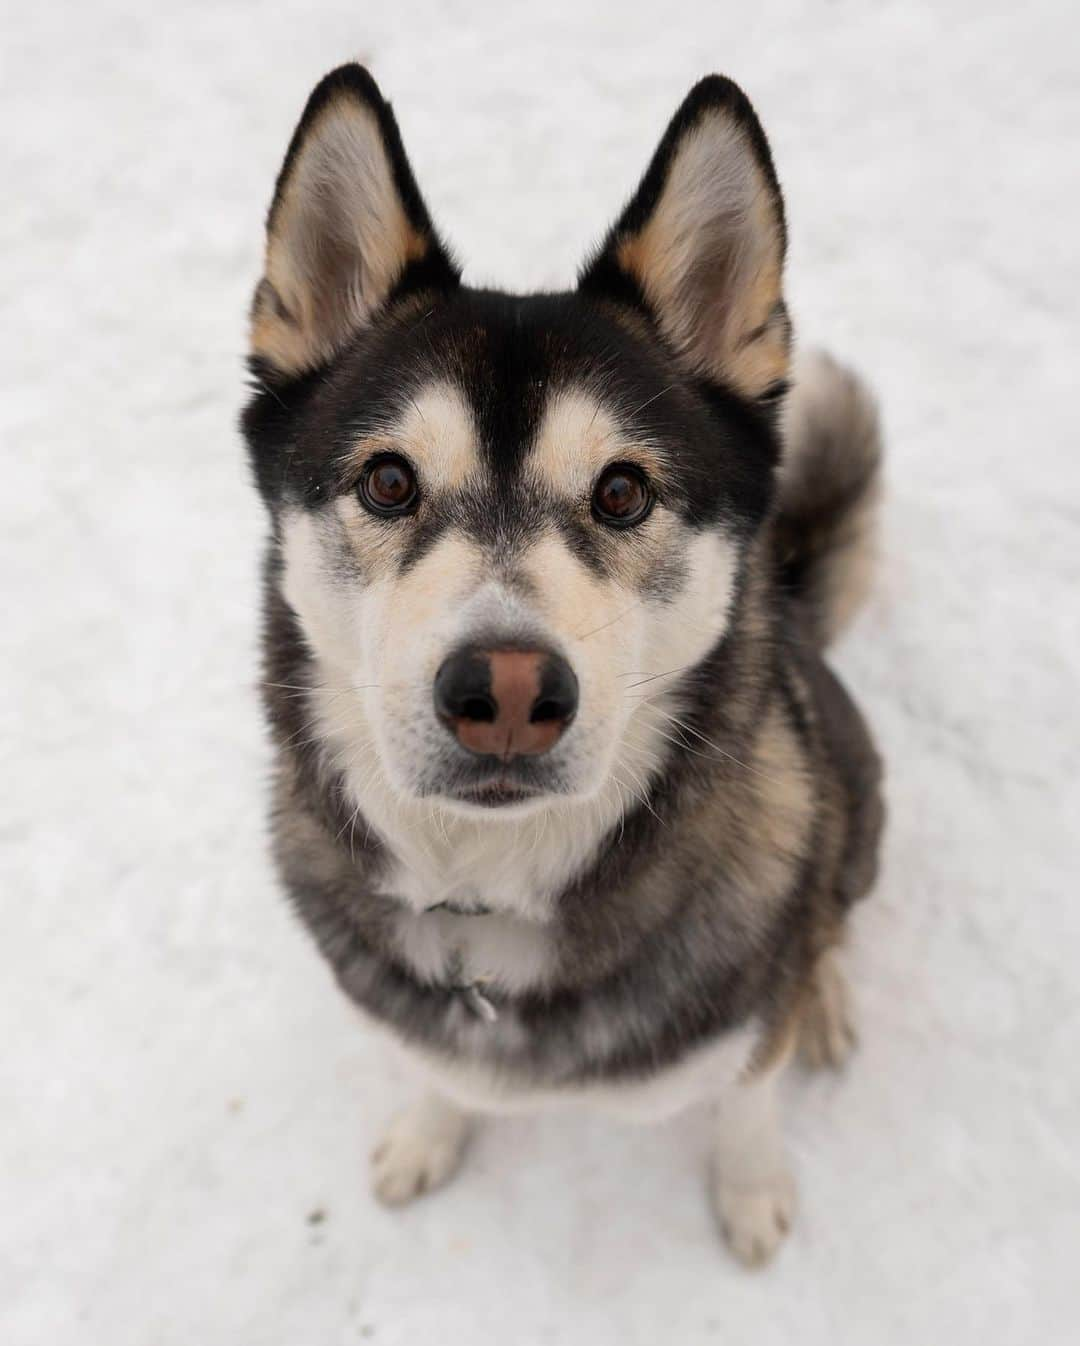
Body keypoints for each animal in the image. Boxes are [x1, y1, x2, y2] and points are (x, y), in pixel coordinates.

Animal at [243, 63, 883, 1259]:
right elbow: (431, 1069)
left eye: (623, 491)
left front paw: (750, 1188)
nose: (503, 692)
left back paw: (822, 990)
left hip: (856, 805)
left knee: (829, 914)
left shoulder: (742, 1032)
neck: (493, 899)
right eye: (388, 481)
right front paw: (427, 1130)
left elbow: (748, 1093)